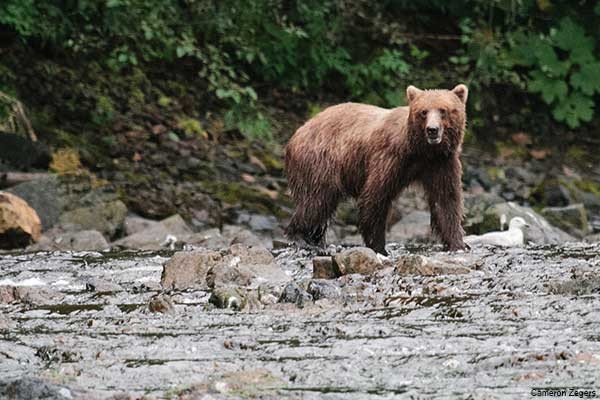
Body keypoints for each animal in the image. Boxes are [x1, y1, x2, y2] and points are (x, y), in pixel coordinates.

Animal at [284, 83, 468, 256]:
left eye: (443, 110)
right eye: (423, 112)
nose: (432, 130)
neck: (421, 151)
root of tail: (296, 134)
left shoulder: (441, 163)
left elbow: (445, 200)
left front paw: (458, 244)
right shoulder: (390, 157)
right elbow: (376, 196)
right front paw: (379, 247)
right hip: (319, 161)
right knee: (316, 200)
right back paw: (301, 238)